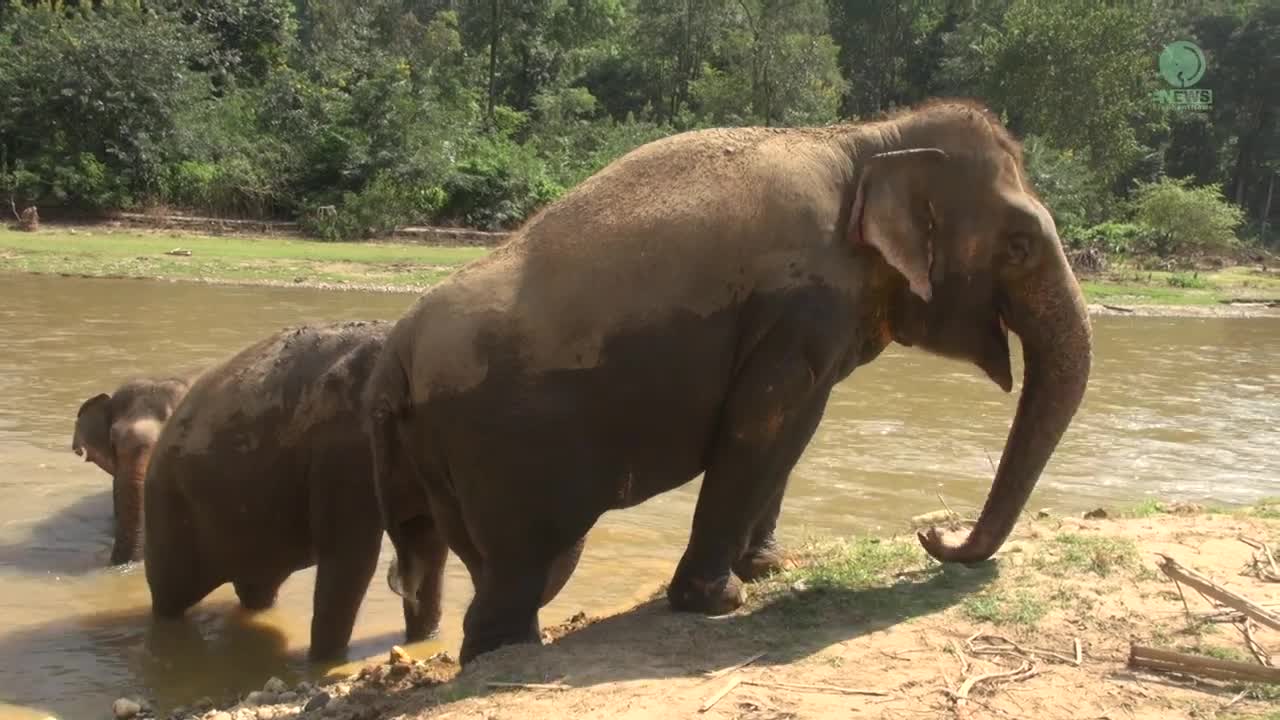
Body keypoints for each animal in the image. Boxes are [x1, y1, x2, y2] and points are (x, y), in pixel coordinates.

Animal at [366, 98, 1095, 666]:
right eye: (1020, 246)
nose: (936, 534)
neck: (867, 139)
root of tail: (395, 354)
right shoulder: (801, 306)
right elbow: (765, 422)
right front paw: (718, 601)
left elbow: (798, 428)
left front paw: (770, 567)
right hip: (503, 449)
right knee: (529, 566)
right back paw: (512, 653)